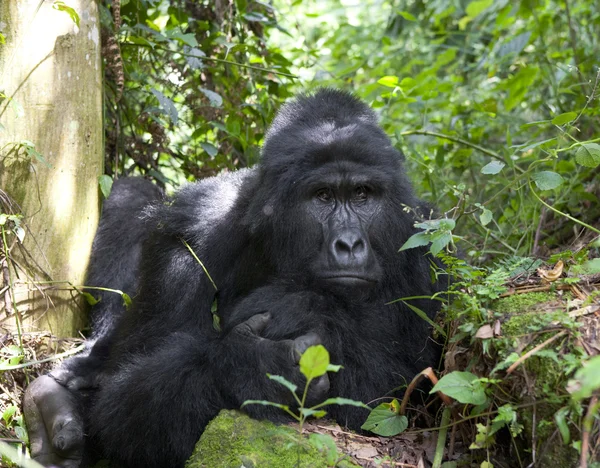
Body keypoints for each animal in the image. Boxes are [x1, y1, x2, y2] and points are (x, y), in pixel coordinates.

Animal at [23, 88, 442, 468]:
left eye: (362, 194)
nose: (350, 244)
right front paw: (253, 365)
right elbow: (119, 406)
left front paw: (303, 307)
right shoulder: (189, 231)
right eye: (322, 196)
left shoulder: (430, 247)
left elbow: (396, 391)